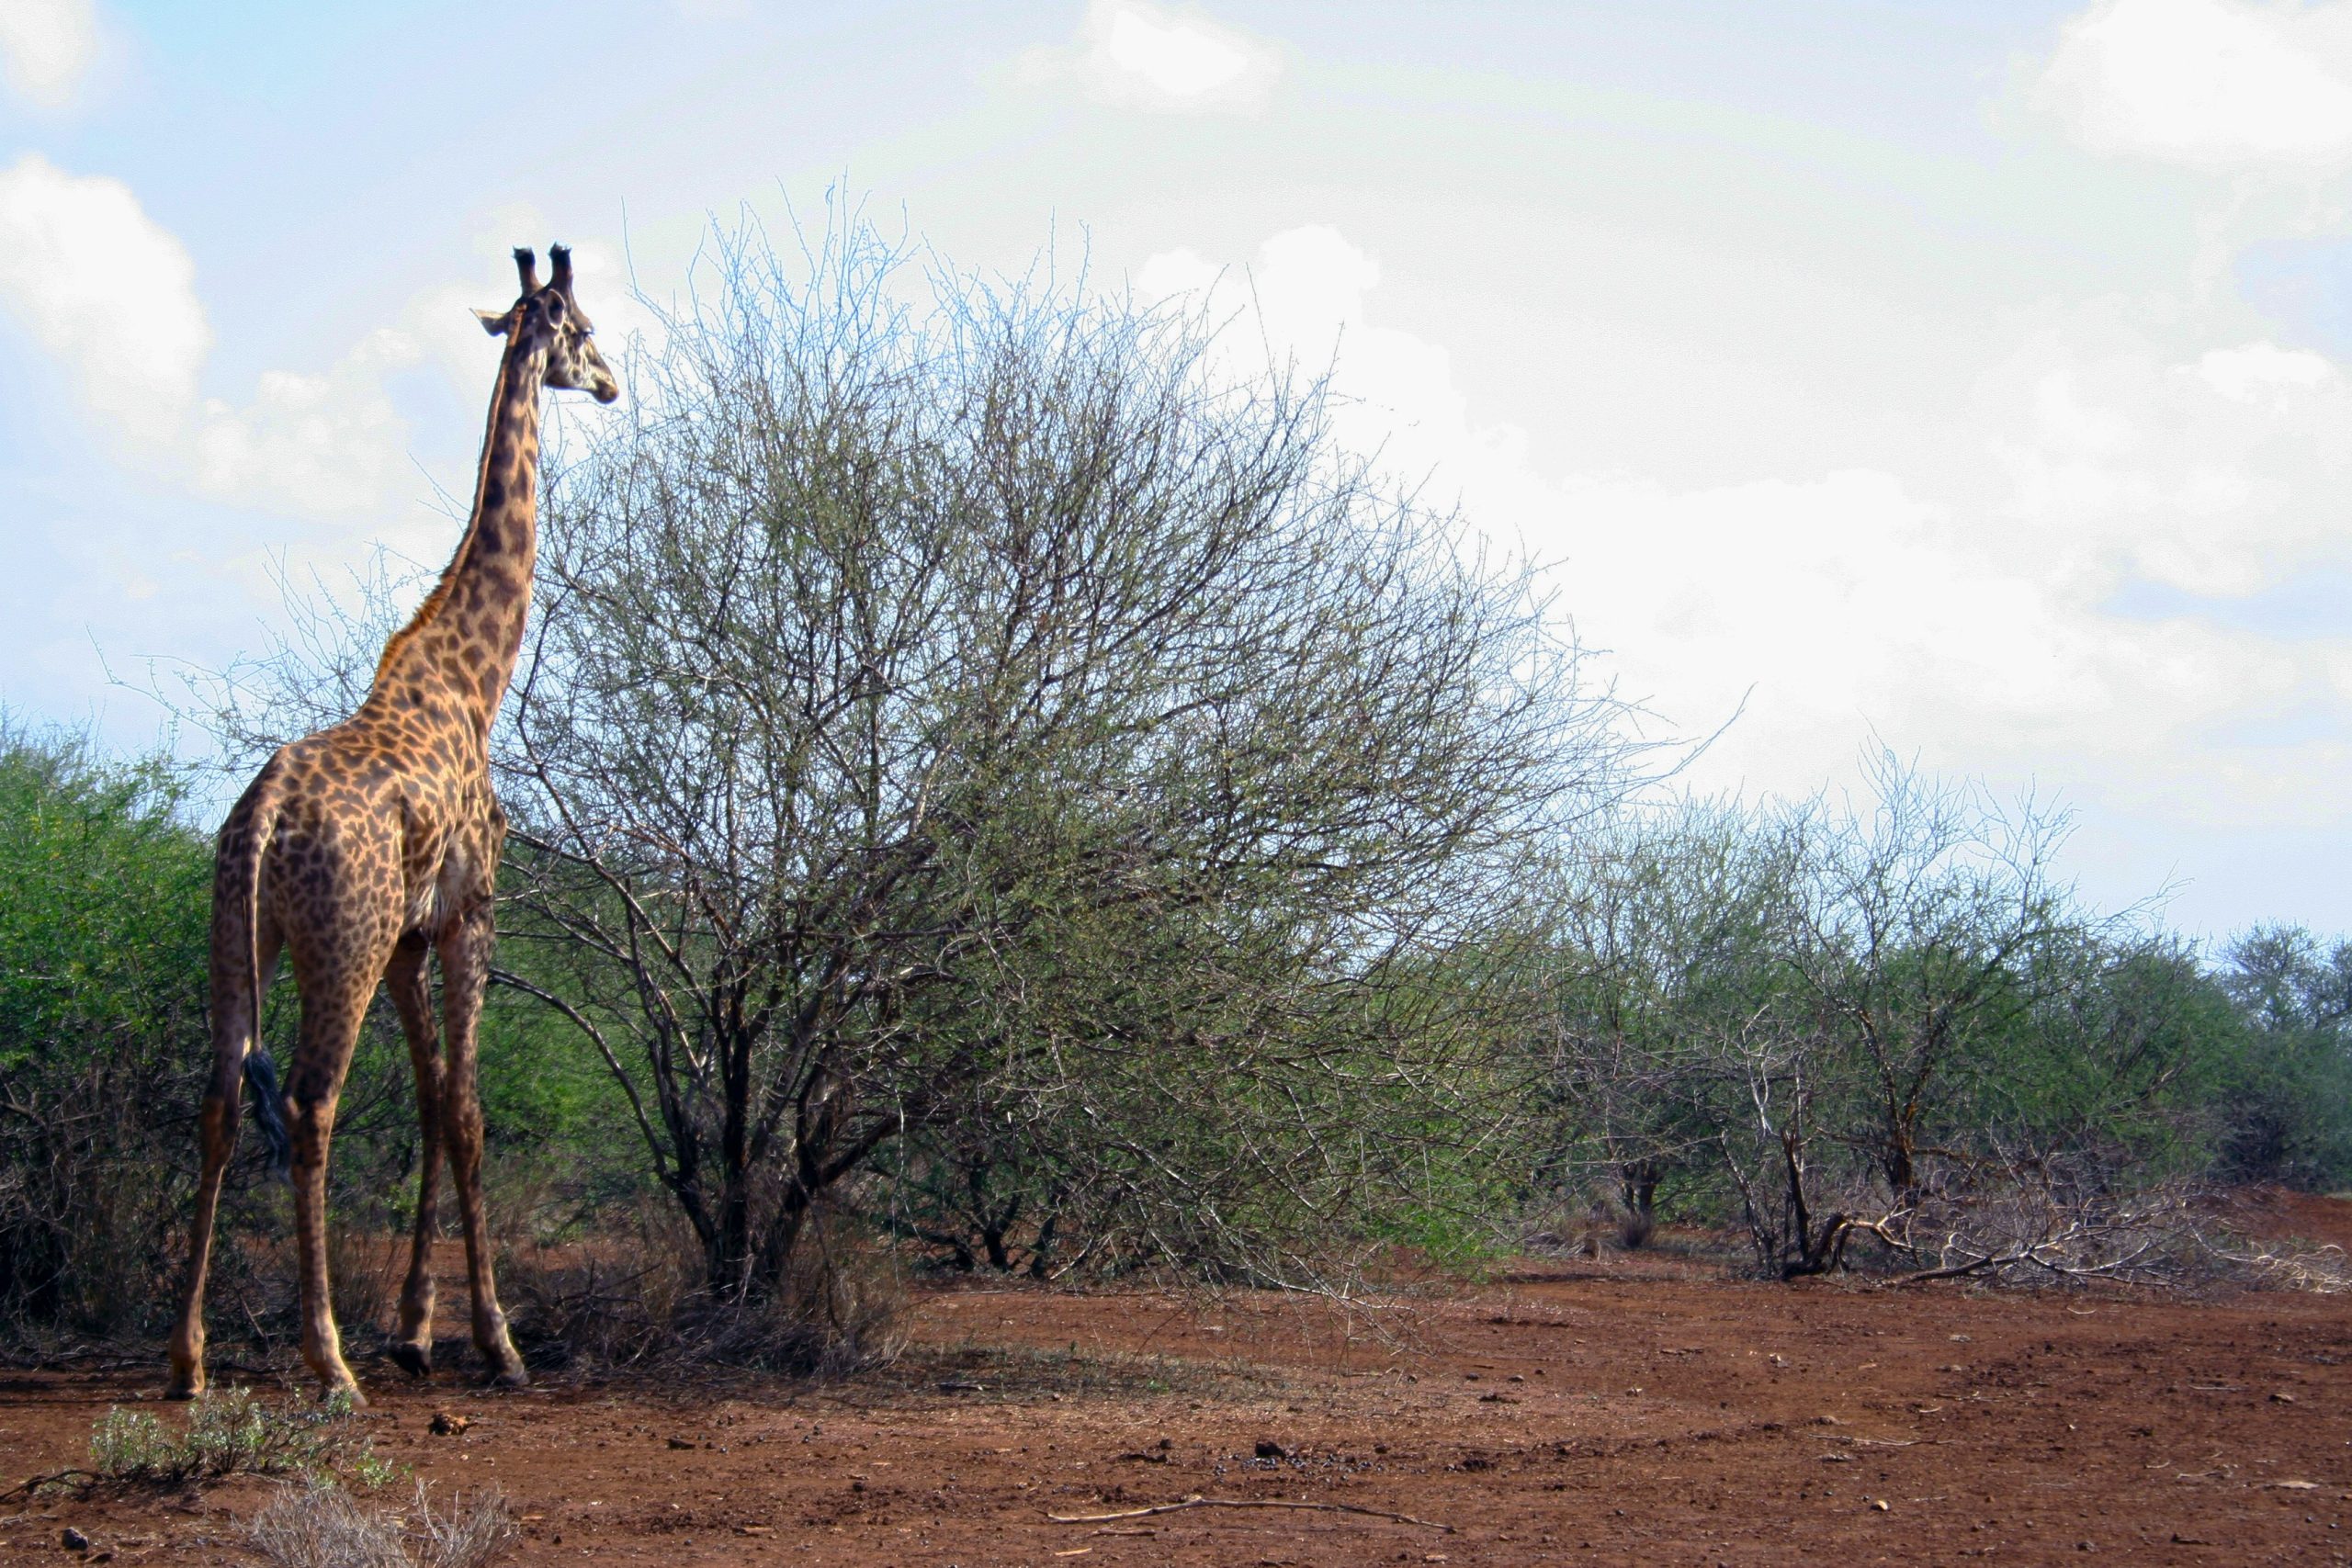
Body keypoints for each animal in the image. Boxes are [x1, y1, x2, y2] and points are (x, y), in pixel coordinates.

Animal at [169, 247, 620, 1410]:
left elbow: (427, 1099)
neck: (472, 680)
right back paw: (326, 1362)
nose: (612, 383)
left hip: (243, 935)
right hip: (344, 941)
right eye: (582, 327)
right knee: (311, 1104)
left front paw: (416, 1329)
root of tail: (264, 820)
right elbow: (465, 1108)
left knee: (219, 1098)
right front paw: (495, 1342)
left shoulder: (413, 936)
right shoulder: (467, 914)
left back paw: (187, 1359)